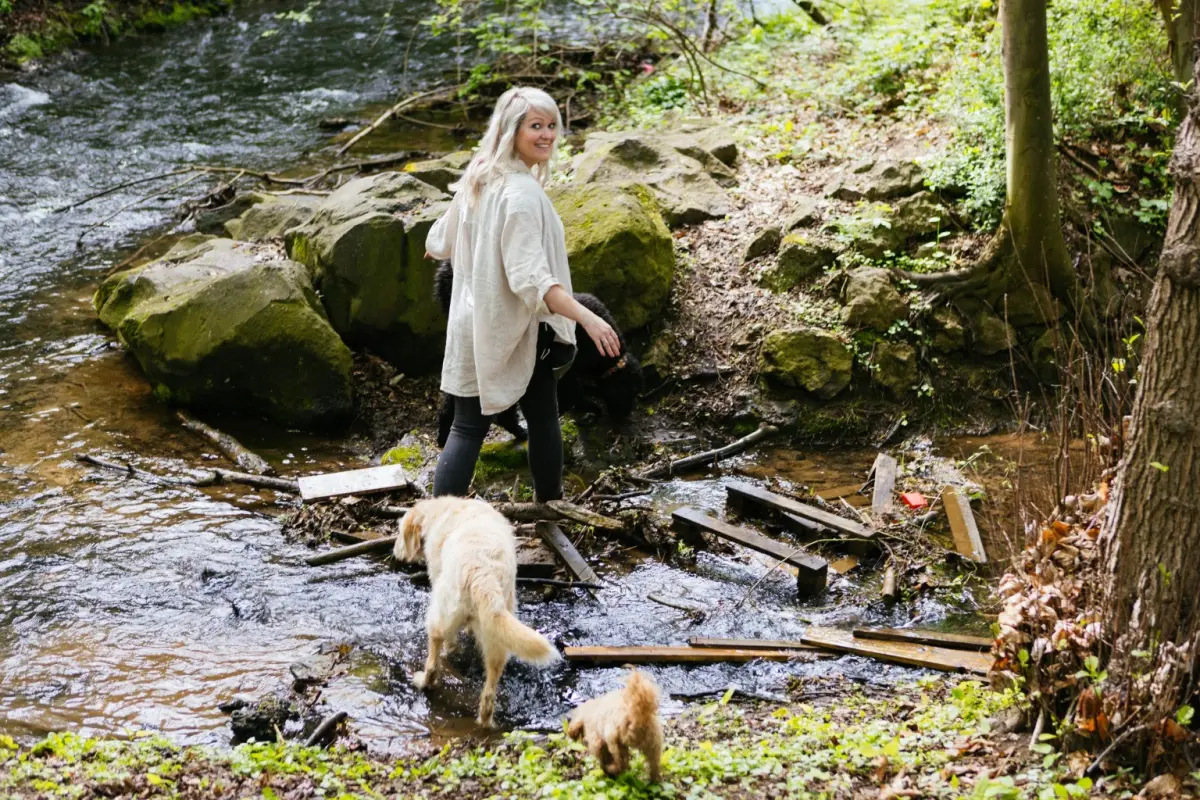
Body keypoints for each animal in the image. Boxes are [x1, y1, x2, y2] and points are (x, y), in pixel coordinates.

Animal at [396, 496, 559, 729]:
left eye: (400, 533)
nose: (395, 552)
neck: (444, 510)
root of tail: (482, 572)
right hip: (497, 634)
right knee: (490, 689)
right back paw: (485, 720)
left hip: (440, 614)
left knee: (435, 659)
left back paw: (424, 680)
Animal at [432, 262, 638, 450]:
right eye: (627, 390)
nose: (626, 415)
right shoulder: (567, 368)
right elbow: (572, 393)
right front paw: (586, 407)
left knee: (452, 402)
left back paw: (444, 436)